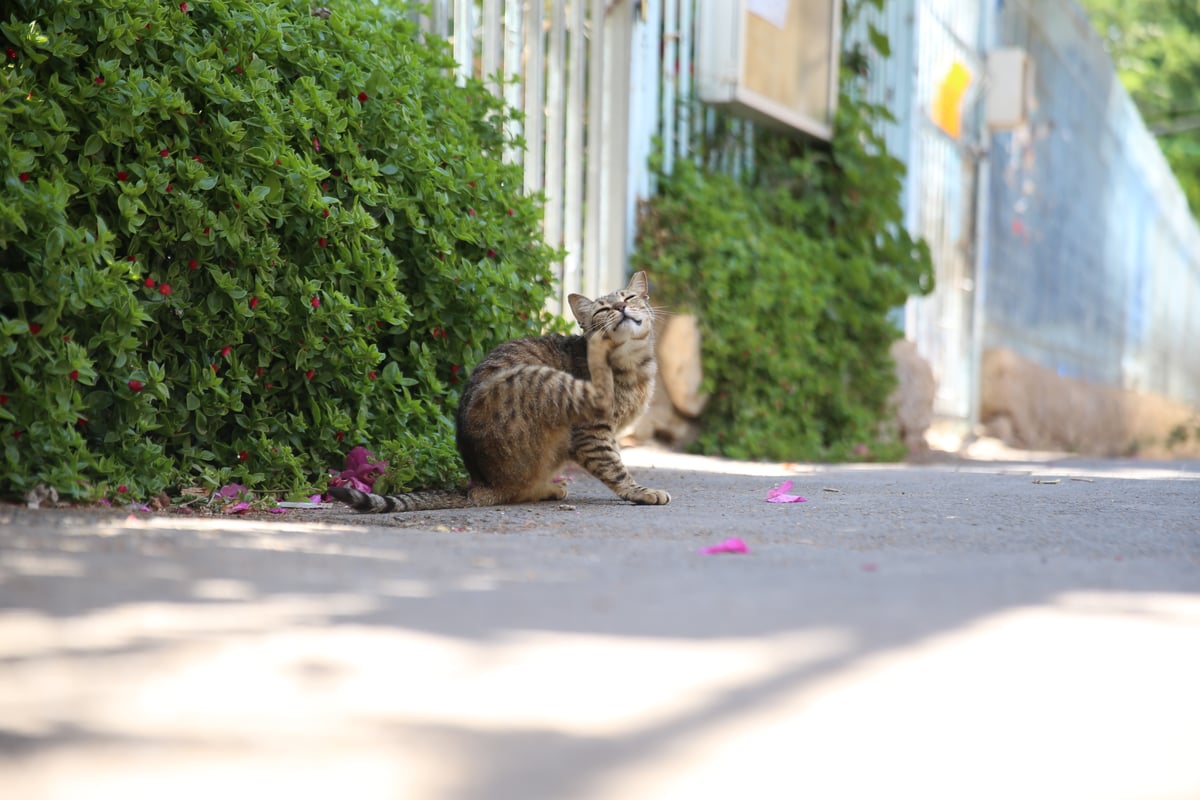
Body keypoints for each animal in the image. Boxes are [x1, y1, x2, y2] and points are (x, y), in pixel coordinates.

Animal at [324, 271, 672, 513]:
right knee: (515, 490)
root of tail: (480, 484)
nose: (620, 306)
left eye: (629, 297)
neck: (632, 365)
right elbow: (614, 467)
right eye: (602, 309)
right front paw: (640, 492)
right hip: (539, 379)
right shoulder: (593, 432)